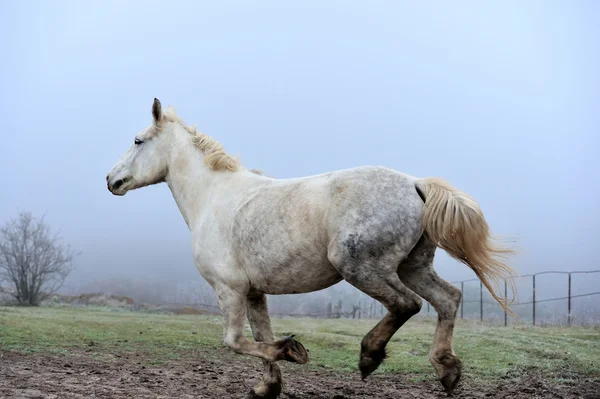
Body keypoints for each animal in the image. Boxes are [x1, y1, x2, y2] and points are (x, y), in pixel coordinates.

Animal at [106, 98, 516, 398]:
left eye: (138, 140)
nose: (111, 179)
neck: (212, 198)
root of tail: (416, 183)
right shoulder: (253, 293)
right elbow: (260, 337)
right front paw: (267, 387)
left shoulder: (229, 289)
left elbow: (236, 341)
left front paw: (293, 350)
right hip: (412, 266)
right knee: (447, 299)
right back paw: (447, 371)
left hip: (361, 267)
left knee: (407, 304)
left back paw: (369, 356)